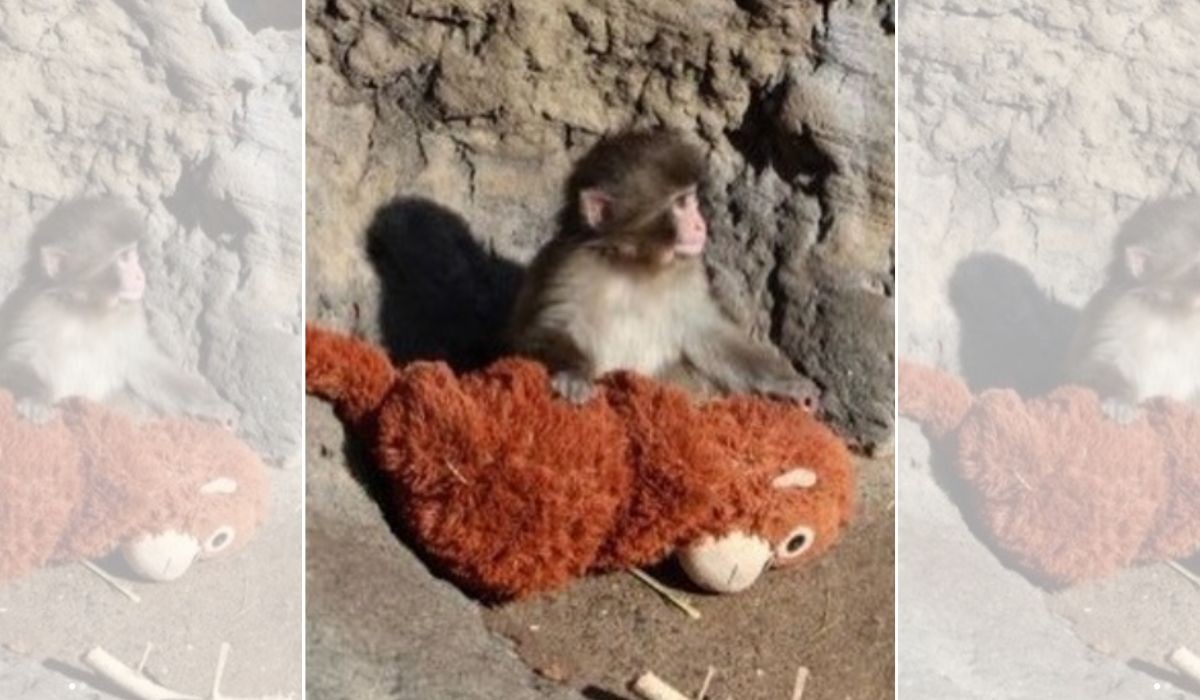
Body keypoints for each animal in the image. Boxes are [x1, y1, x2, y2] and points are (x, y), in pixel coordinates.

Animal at [0, 196, 238, 426]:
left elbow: (147, 365)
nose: (140, 275)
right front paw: (35, 398)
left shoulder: (130, 319)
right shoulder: (35, 311)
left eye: (133, 254)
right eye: (123, 258)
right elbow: (16, 359)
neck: (86, 310)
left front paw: (211, 406)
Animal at [506, 130, 821, 409]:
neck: (634, 265)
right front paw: (574, 373)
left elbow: (708, 333)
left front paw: (787, 384)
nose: (700, 224)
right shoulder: (571, 267)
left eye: (691, 199)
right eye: (681, 204)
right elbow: (543, 329)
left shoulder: (688, 275)